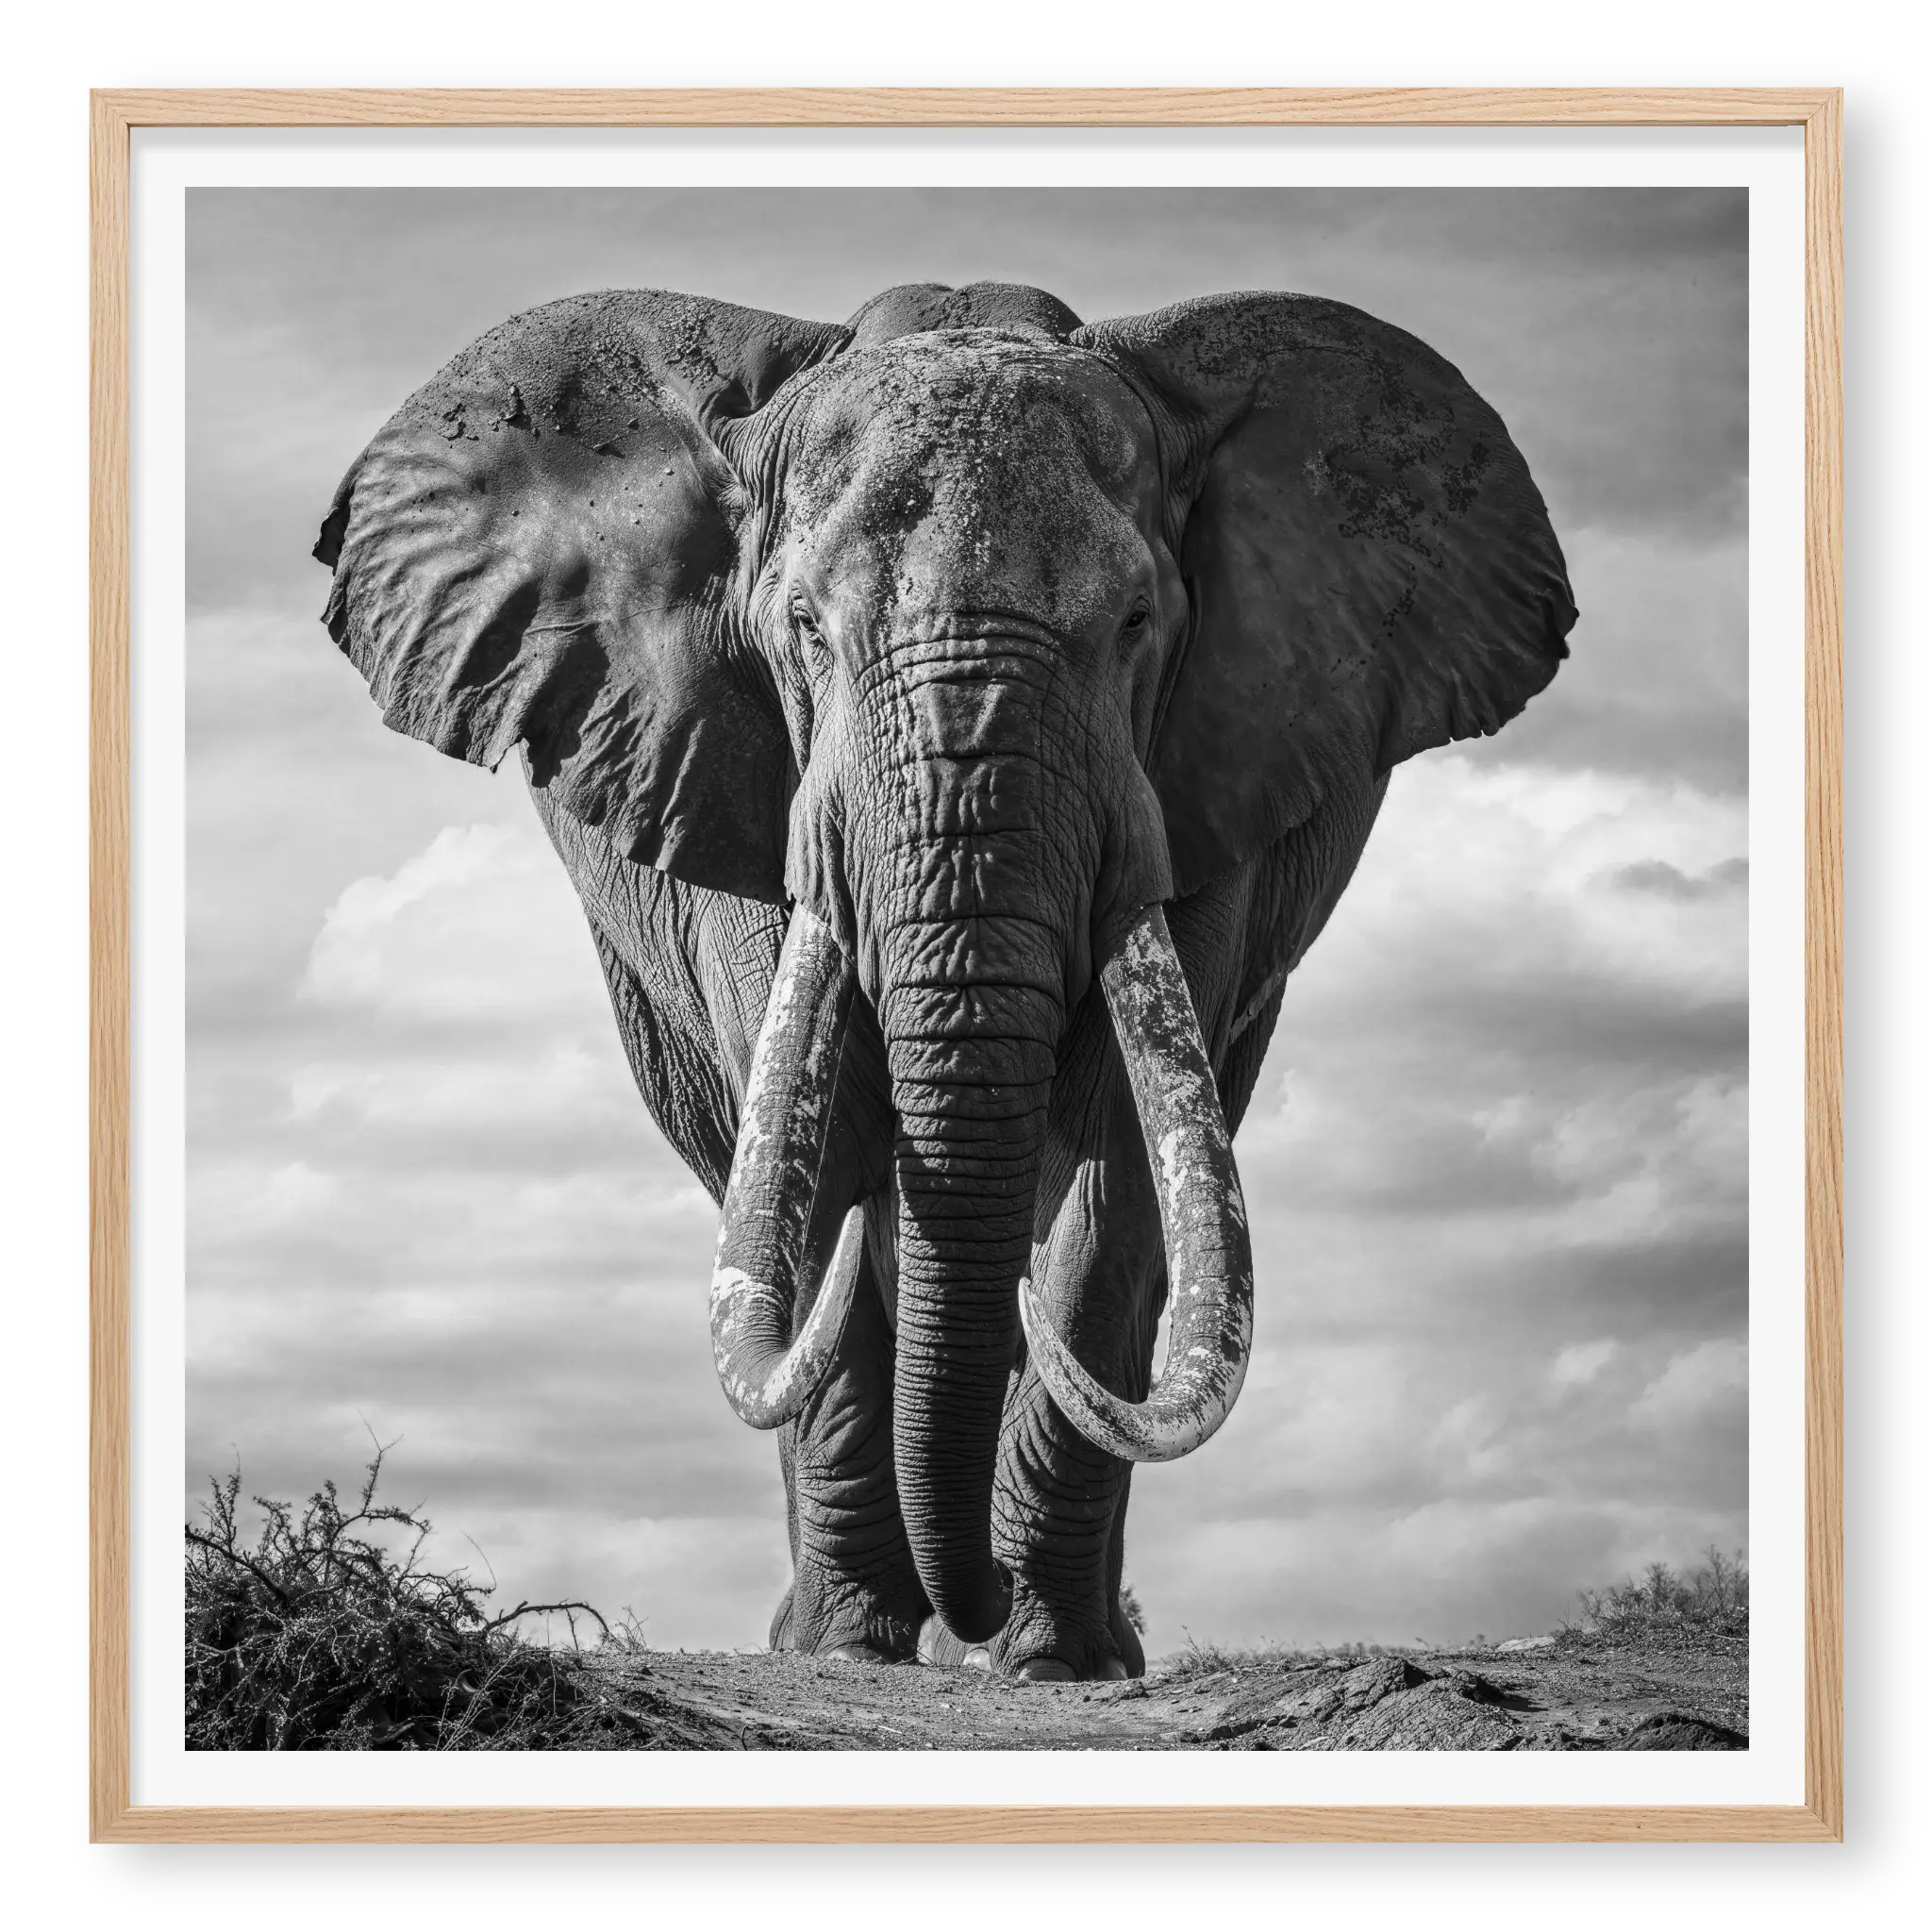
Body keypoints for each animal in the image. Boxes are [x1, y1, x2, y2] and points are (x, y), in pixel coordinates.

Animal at [313, 278, 1575, 1683]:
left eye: (1136, 626)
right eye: (803, 630)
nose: (960, 1609)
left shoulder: (1208, 788)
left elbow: (1114, 1170)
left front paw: (1053, 1659)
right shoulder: (731, 779)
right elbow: (815, 1164)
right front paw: (851, 1648)